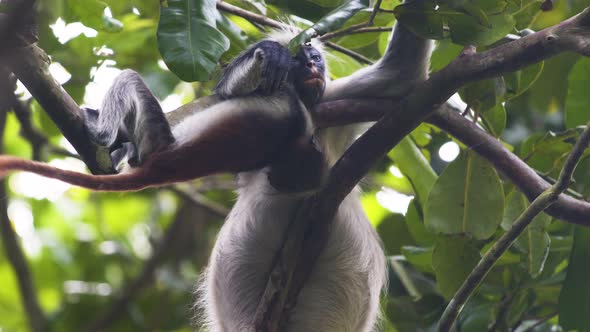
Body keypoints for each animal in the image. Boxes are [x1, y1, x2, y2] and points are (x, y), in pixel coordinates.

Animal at [0, 24, 434, 332]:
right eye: (303, 60)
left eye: (314, 58)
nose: (312, 64)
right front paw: (268, 54)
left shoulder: (320, 103)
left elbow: (401, 75)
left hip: (158, 141)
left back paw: (105, 135)